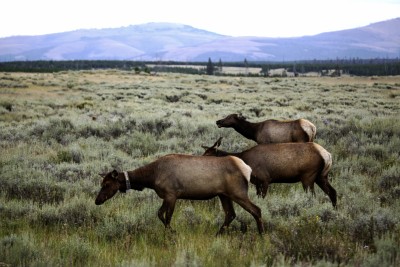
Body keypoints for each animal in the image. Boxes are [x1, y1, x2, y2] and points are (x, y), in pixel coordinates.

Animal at [95, 154, 264, 236]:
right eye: (101, 183)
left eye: (107, 184)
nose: (97, 201)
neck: (151, 178)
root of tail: (247, 169)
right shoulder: (167, 196)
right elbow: (161, 214)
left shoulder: (171, 195)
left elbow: (165, 216)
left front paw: (172, 233)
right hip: (224, 195)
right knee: (230, 214)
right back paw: (218, 234)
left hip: (238, 193)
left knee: (256, 209)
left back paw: (261, 235)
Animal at [202, 138, 336, 209]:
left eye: (208, 154)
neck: (246, 161)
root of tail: (328, 155)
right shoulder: (257, 182)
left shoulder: (265, 179)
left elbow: (263, 198)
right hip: (321, 176)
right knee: (332, 192)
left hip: (308, 176)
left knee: (313, 196)